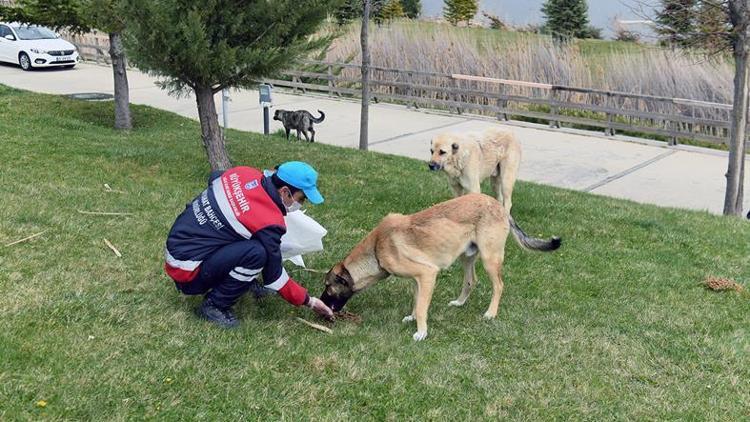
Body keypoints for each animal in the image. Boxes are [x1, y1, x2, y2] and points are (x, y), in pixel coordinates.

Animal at [320, 193, 560, 342]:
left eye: (328, 287)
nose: (320, 304)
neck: (377, 248)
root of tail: (499, 205)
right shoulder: (419, 279)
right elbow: (417, 302)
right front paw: (412, 319)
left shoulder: (427, 274)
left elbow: (421, 307)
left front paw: (421, 332)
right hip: (467, 256)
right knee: (471, 281)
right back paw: (460, 303)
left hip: (489, 258)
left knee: (499, 285)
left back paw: (490, 314)